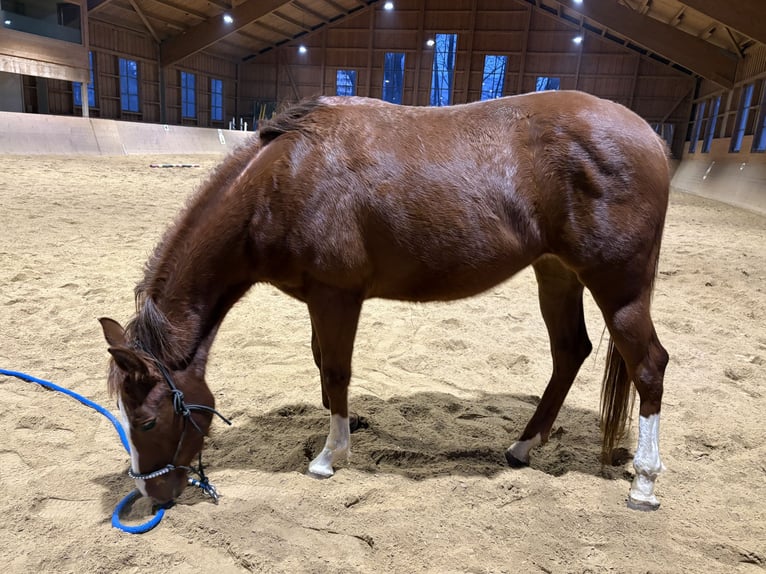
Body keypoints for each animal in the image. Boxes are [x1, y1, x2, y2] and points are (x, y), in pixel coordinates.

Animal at [100, 90, 669, 511]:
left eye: (146, 421)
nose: (151, 494)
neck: (285, 179)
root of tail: (650, 137)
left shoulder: (335, 296)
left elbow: (336, 370)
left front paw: (330, 456)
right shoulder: (318, 299)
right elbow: (321, 364)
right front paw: (343, 427)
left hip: (619, 289)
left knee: (649, 366)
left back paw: (643, 483)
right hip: (556, 274)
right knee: (570, 351)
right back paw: (523, 448)